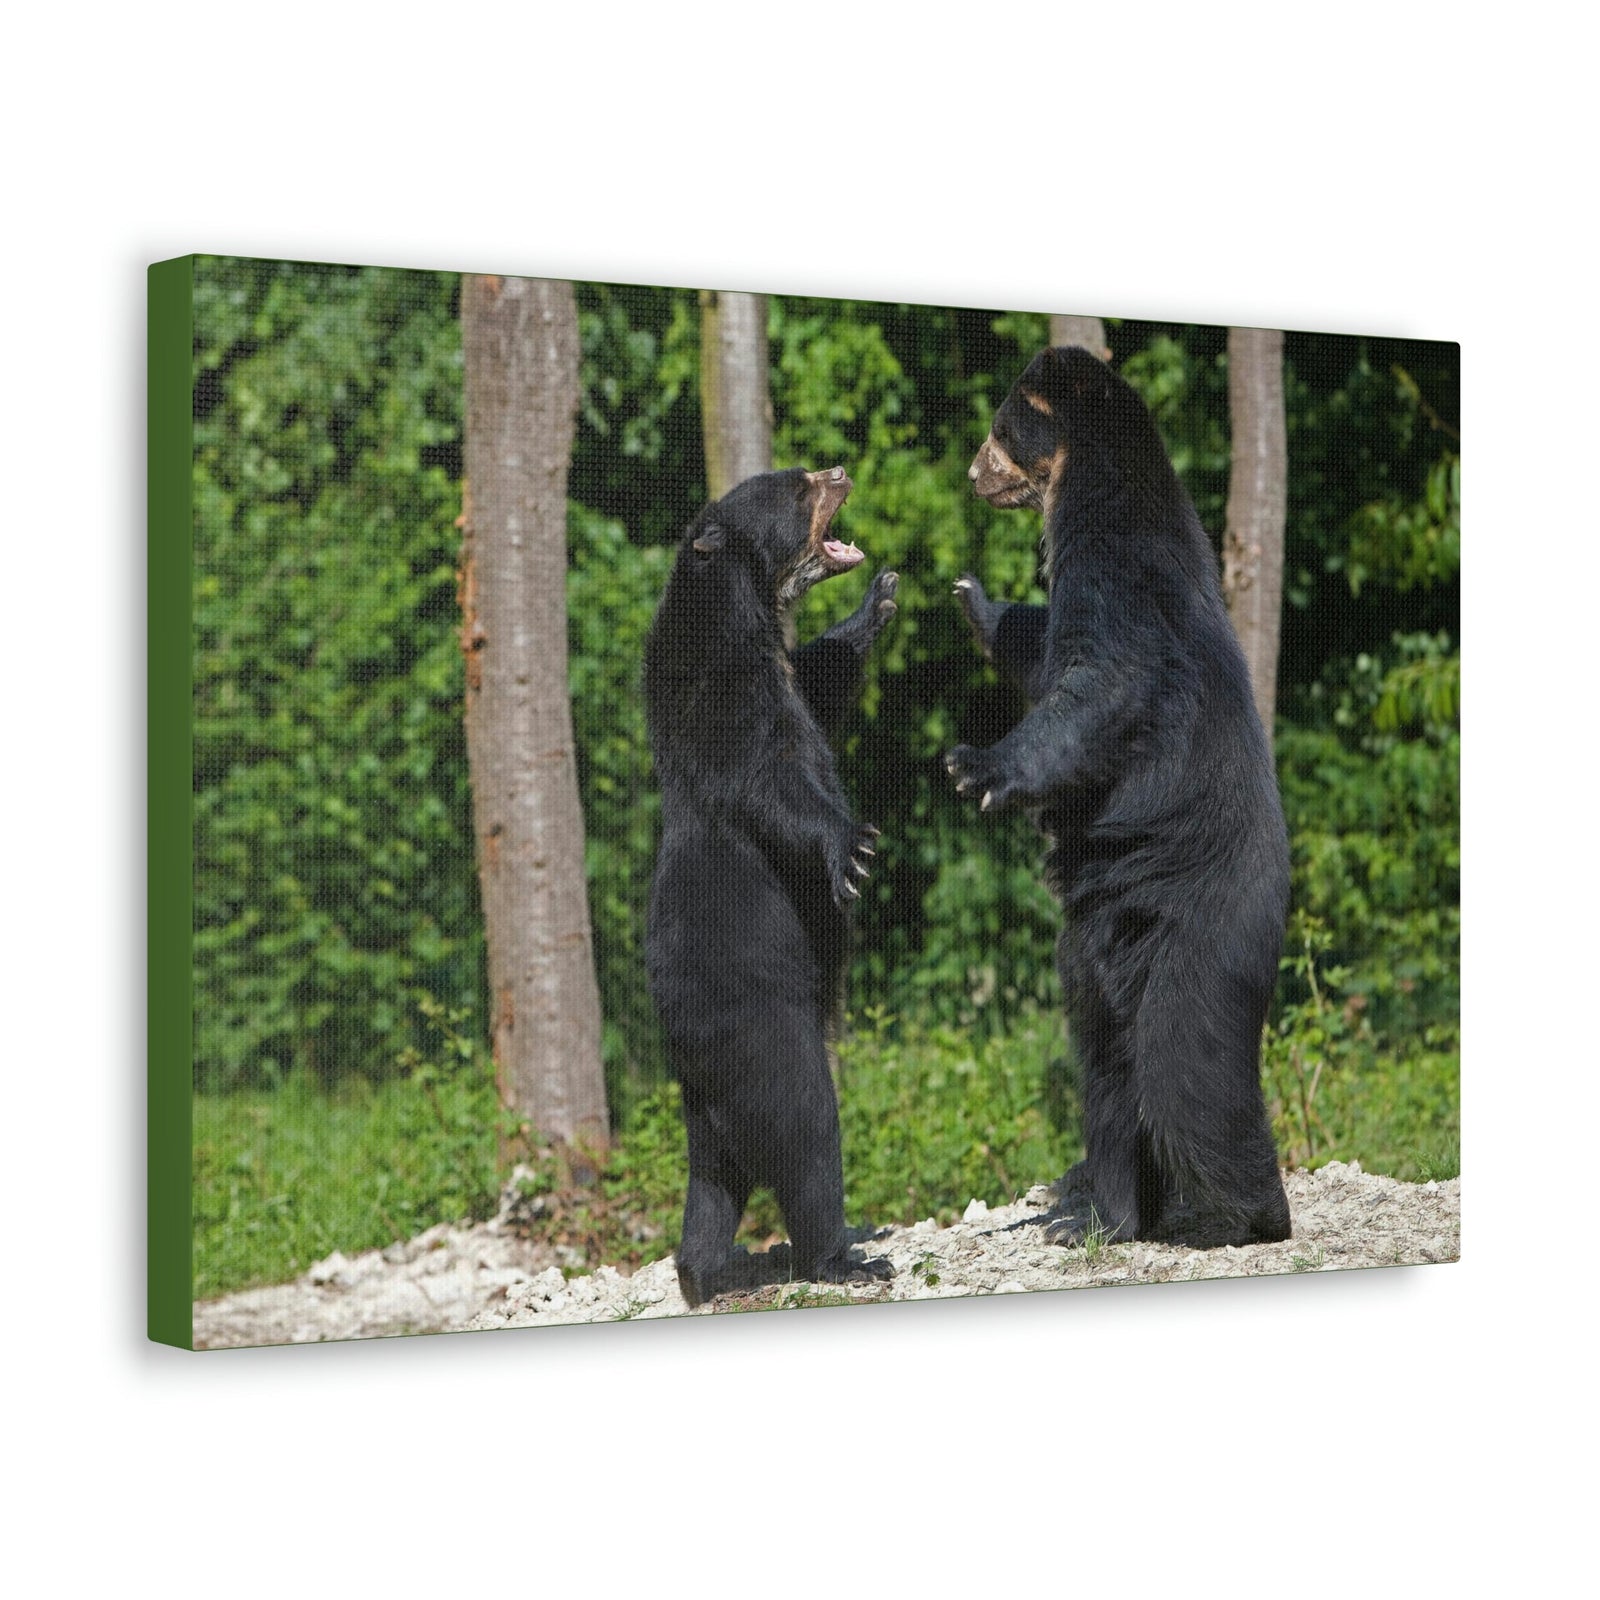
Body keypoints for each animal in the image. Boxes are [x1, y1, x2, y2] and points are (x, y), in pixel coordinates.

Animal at [643, 465, 899, 1307]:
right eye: (796, 487)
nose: (839, 470)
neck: (748, 614)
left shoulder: (788, 676)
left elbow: (824, 677)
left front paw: (878, 601)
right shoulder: (719, 691)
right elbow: (770, 778)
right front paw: (854, 848)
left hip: (705, 1105)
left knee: (711, 1183)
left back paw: (699, 1273)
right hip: (763, 1030)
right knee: (808, 1132)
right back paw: (843, 1256)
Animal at [947, 345, 1293, 1248]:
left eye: (1000, 428)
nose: (973, 474)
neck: (1088, 486)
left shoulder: (1119, 574)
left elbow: (1100, 683)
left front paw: (974, 765)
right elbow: (1041, 652)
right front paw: (974, 599)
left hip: (1198, 933)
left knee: (1186, 1065)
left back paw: (1243, 1213)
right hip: (1093, 954)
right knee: (1106, 1071)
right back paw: (1106, 1214)